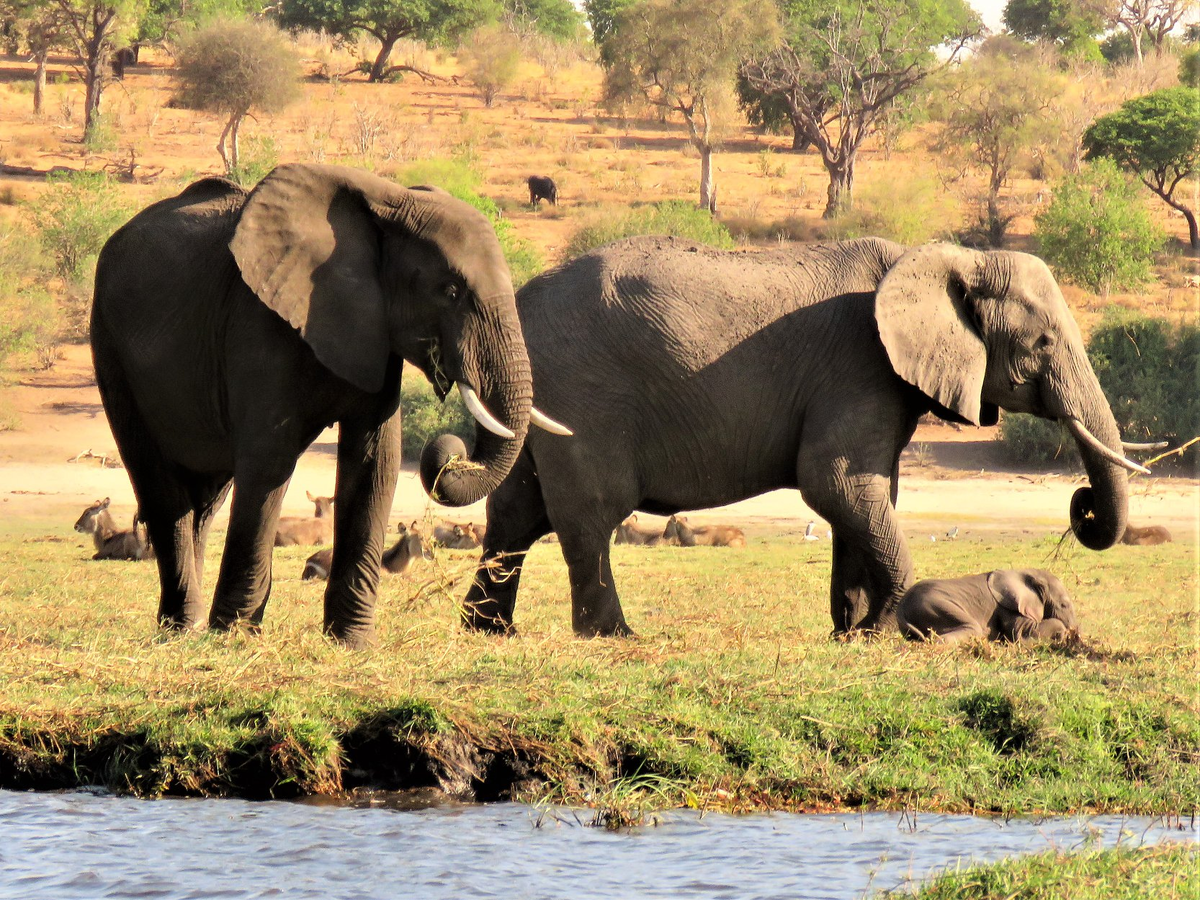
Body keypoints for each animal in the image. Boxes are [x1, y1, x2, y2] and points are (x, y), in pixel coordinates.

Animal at [892, 566, 1080, 643]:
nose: (1076, 636)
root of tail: (901, 609)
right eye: (1064, 605)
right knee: (972, 629)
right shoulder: (1006, 605)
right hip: (935, 605)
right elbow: (1023, 631)